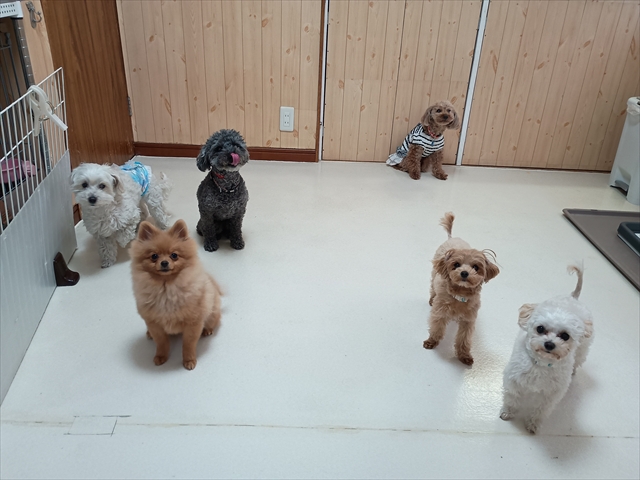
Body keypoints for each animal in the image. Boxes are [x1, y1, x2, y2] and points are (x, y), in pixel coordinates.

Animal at [130, 219, 222, 370]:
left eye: (174, 255)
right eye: (154, 256)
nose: (164, 262)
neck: (166, 289)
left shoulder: (193, 323)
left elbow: (188, 345)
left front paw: (189, 360)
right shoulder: (154, 324)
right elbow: (161, 342)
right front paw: (161, 356)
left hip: (212, 313)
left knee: (213, 321)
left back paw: (207, 330)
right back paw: (148, 334)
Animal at [423, 213, 499, 365]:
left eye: (476, 267)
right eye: (456, 264)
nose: (464, 273)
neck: (460, 296)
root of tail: (452, 237)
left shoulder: (468, 321)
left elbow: (464, 339)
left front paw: (464, 355)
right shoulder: (439, 313)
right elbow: (436, 328)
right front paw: (431, 341)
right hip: (435, 273)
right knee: (432, 286)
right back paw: (431, 298)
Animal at [500, 264, 594, 434]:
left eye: (565, 336)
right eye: (540, 328)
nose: (549, 344)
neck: (542, 364)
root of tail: (573, 297)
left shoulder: (551, 394)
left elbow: (541, 409)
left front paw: (533, 424)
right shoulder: (513, 380)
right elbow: (512, 399)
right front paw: (507, 412)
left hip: (582, 349)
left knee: (578, 360)